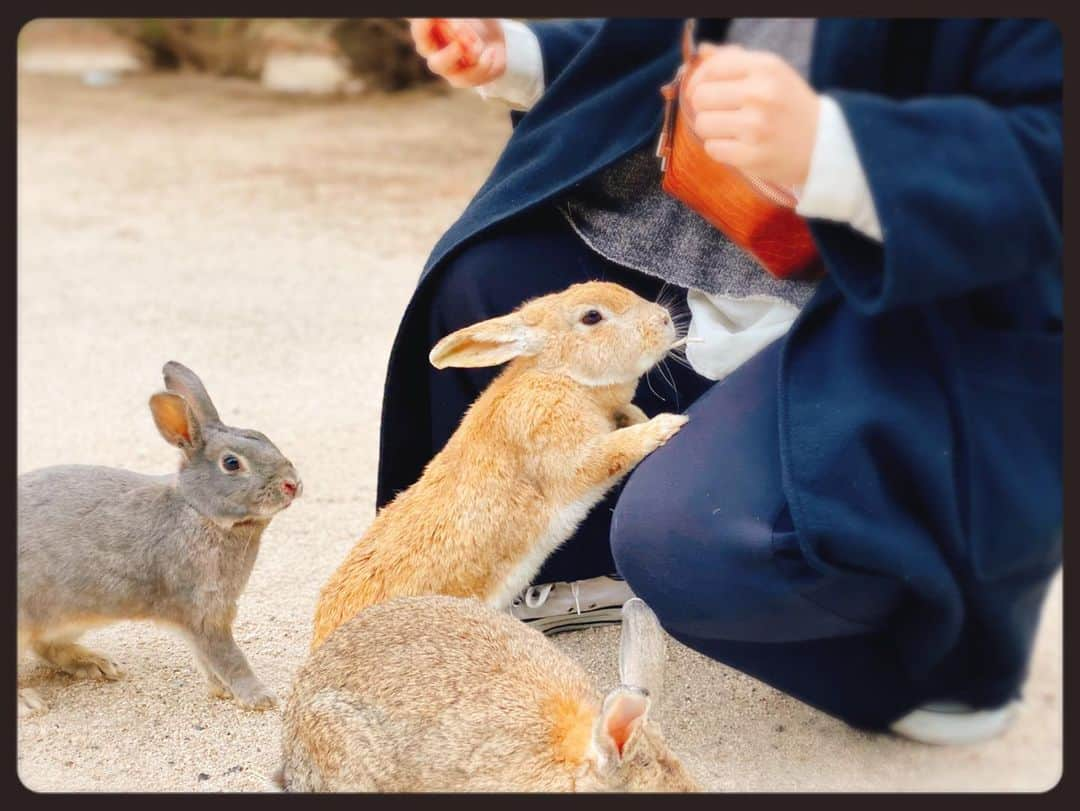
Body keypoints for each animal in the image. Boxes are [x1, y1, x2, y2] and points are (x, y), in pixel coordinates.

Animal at [17, 360, 304, 717]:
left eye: (263, 436)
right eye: (231, 463)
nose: (293, 484)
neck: (198, 510)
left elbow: (207, 658)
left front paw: (222, 691)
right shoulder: (204, 611)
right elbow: (228, 657)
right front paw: (259, 697)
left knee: (47, 646)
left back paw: (97, 664)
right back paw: (27, 702)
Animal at [308, 282, 686, 652]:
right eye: (592, 316)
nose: (664, 319)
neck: (561, 375)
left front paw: (639, 416)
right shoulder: (563, 448)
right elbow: (610, 453)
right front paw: (666, 425)